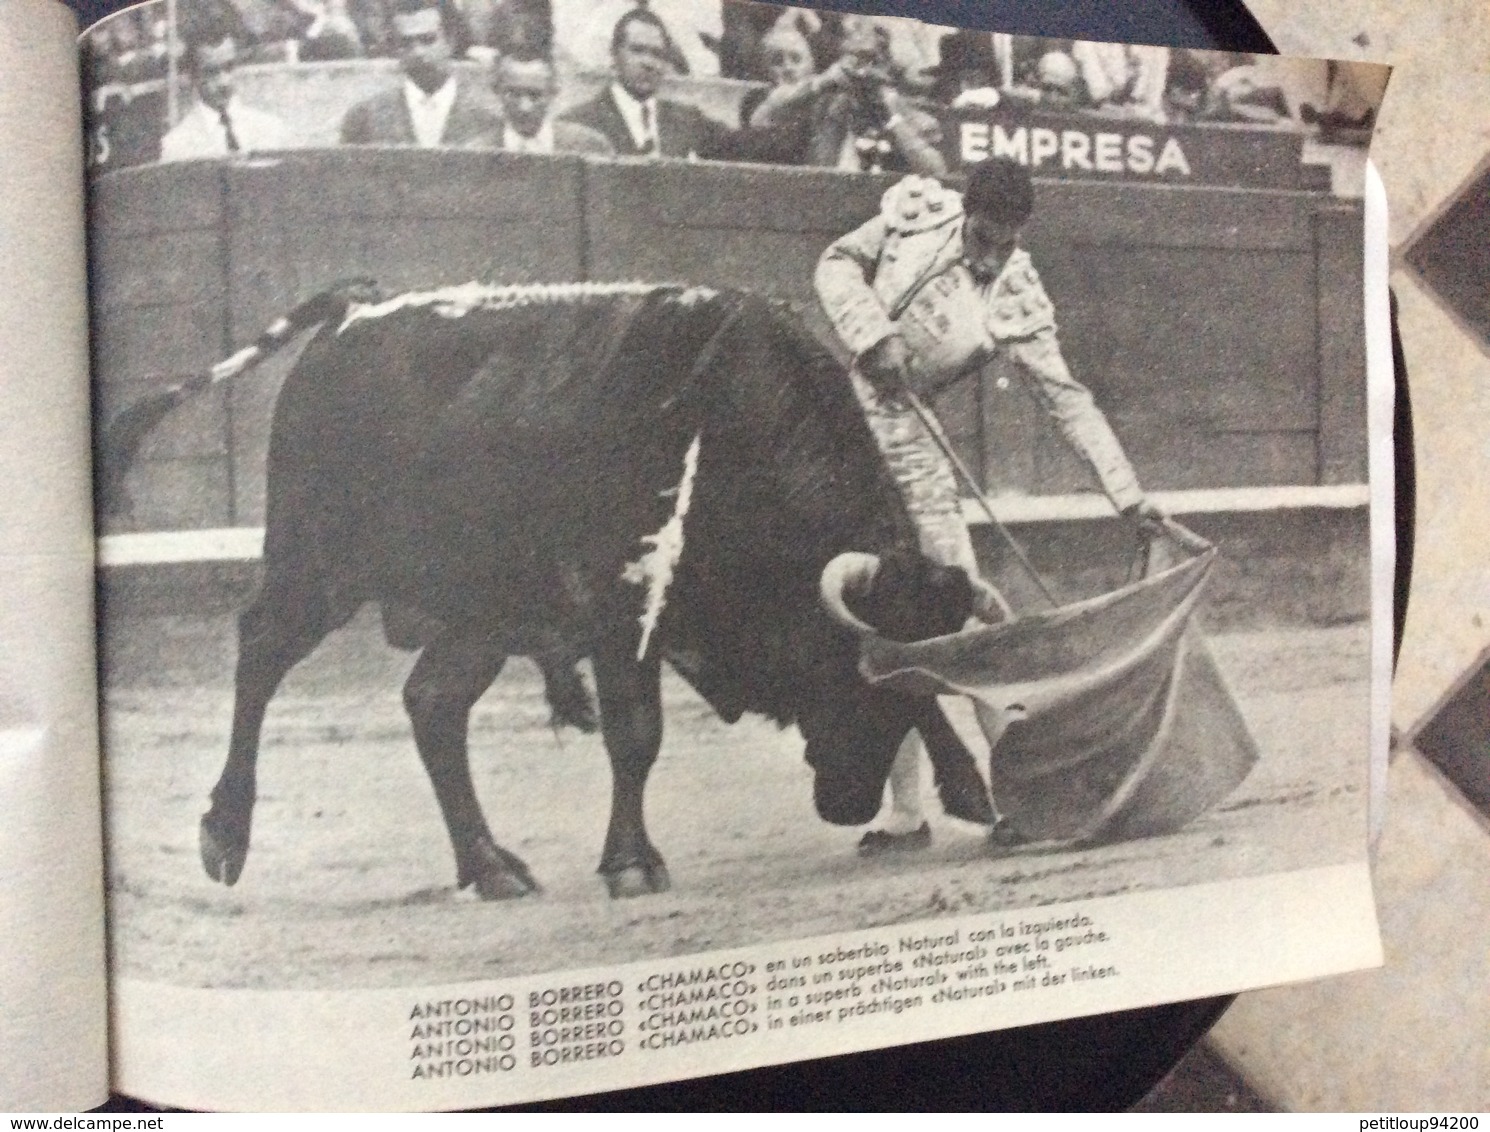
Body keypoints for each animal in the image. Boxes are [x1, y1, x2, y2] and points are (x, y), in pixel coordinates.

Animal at [108, 283, 989, 899]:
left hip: (481, 612)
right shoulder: (621, 612)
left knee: (432, 704)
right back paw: (225, 836)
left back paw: (490, 866)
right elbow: (635, 734)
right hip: (316, 566)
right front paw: (631, 864)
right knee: (260, 653)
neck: (729, 425)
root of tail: (353, 315)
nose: (848, 803)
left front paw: (973, 789)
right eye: (847, 674)